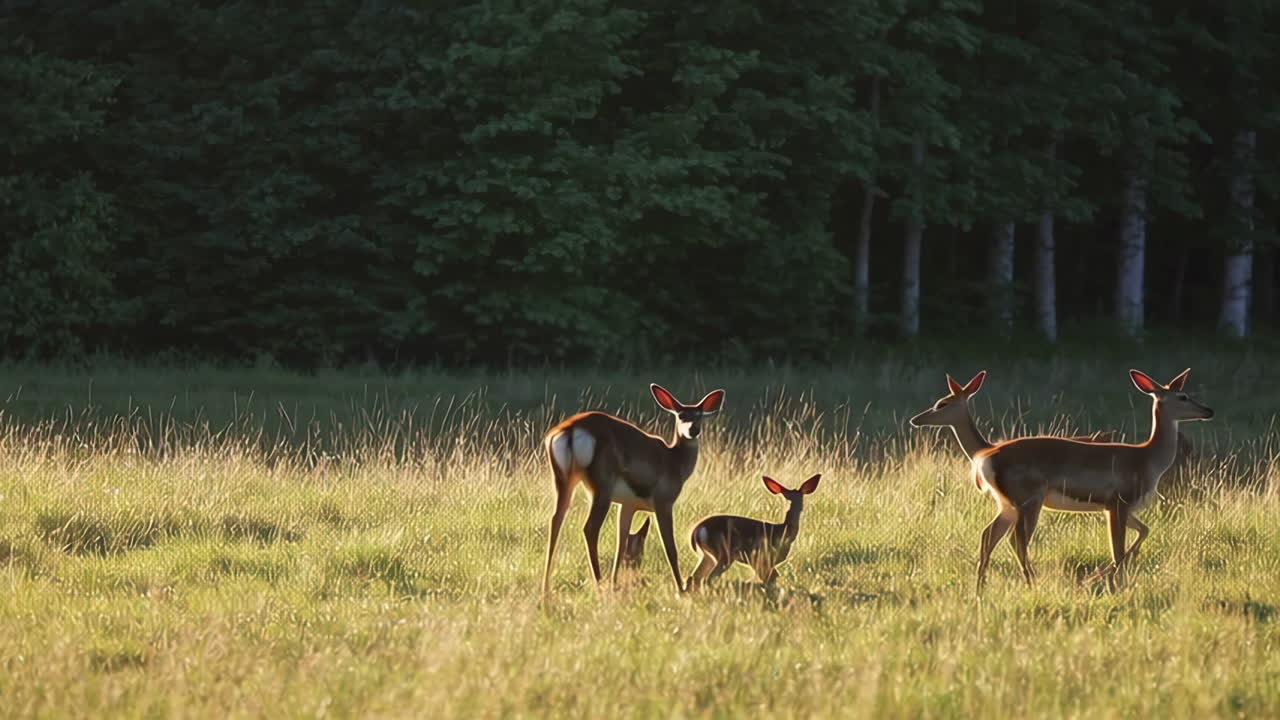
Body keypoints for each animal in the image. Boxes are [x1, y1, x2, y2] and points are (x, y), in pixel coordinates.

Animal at [542, 384, 725, 597]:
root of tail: (569, 430)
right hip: (602, 485)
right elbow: (670, 547)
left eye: (700, 415)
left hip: (563, 479)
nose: (693, 430)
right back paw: (598, 583)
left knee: (555, 520)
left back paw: (546, 586)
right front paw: (680, 589)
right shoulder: (663, 500)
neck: (675, 462)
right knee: (589, 528)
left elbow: (621, 544)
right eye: (681, 415)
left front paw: (615, 583)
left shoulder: (628, 505)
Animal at [685, 474, 821, 592]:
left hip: (707, 555)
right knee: (707, 579)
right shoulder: (759, 557)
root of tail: (696, 531)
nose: (801, 508)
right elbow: (769, 579)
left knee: (694, 578)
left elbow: (772, 578)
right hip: (724, 553)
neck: (784, 531)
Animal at [955, 368, 1212, 591]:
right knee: (1016, 540)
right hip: (1028, 498)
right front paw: (1113, 584)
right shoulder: (1119, 501)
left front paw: (1107, 577)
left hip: (1007, 502)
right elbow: (1118, 549)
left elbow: (1144, 531)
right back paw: (1030, 583)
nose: (1209, 410)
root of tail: (984, 459)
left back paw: (981, 587)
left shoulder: (1116, 507)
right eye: (1183, 396)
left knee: (989, 534)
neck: (1147, 460)